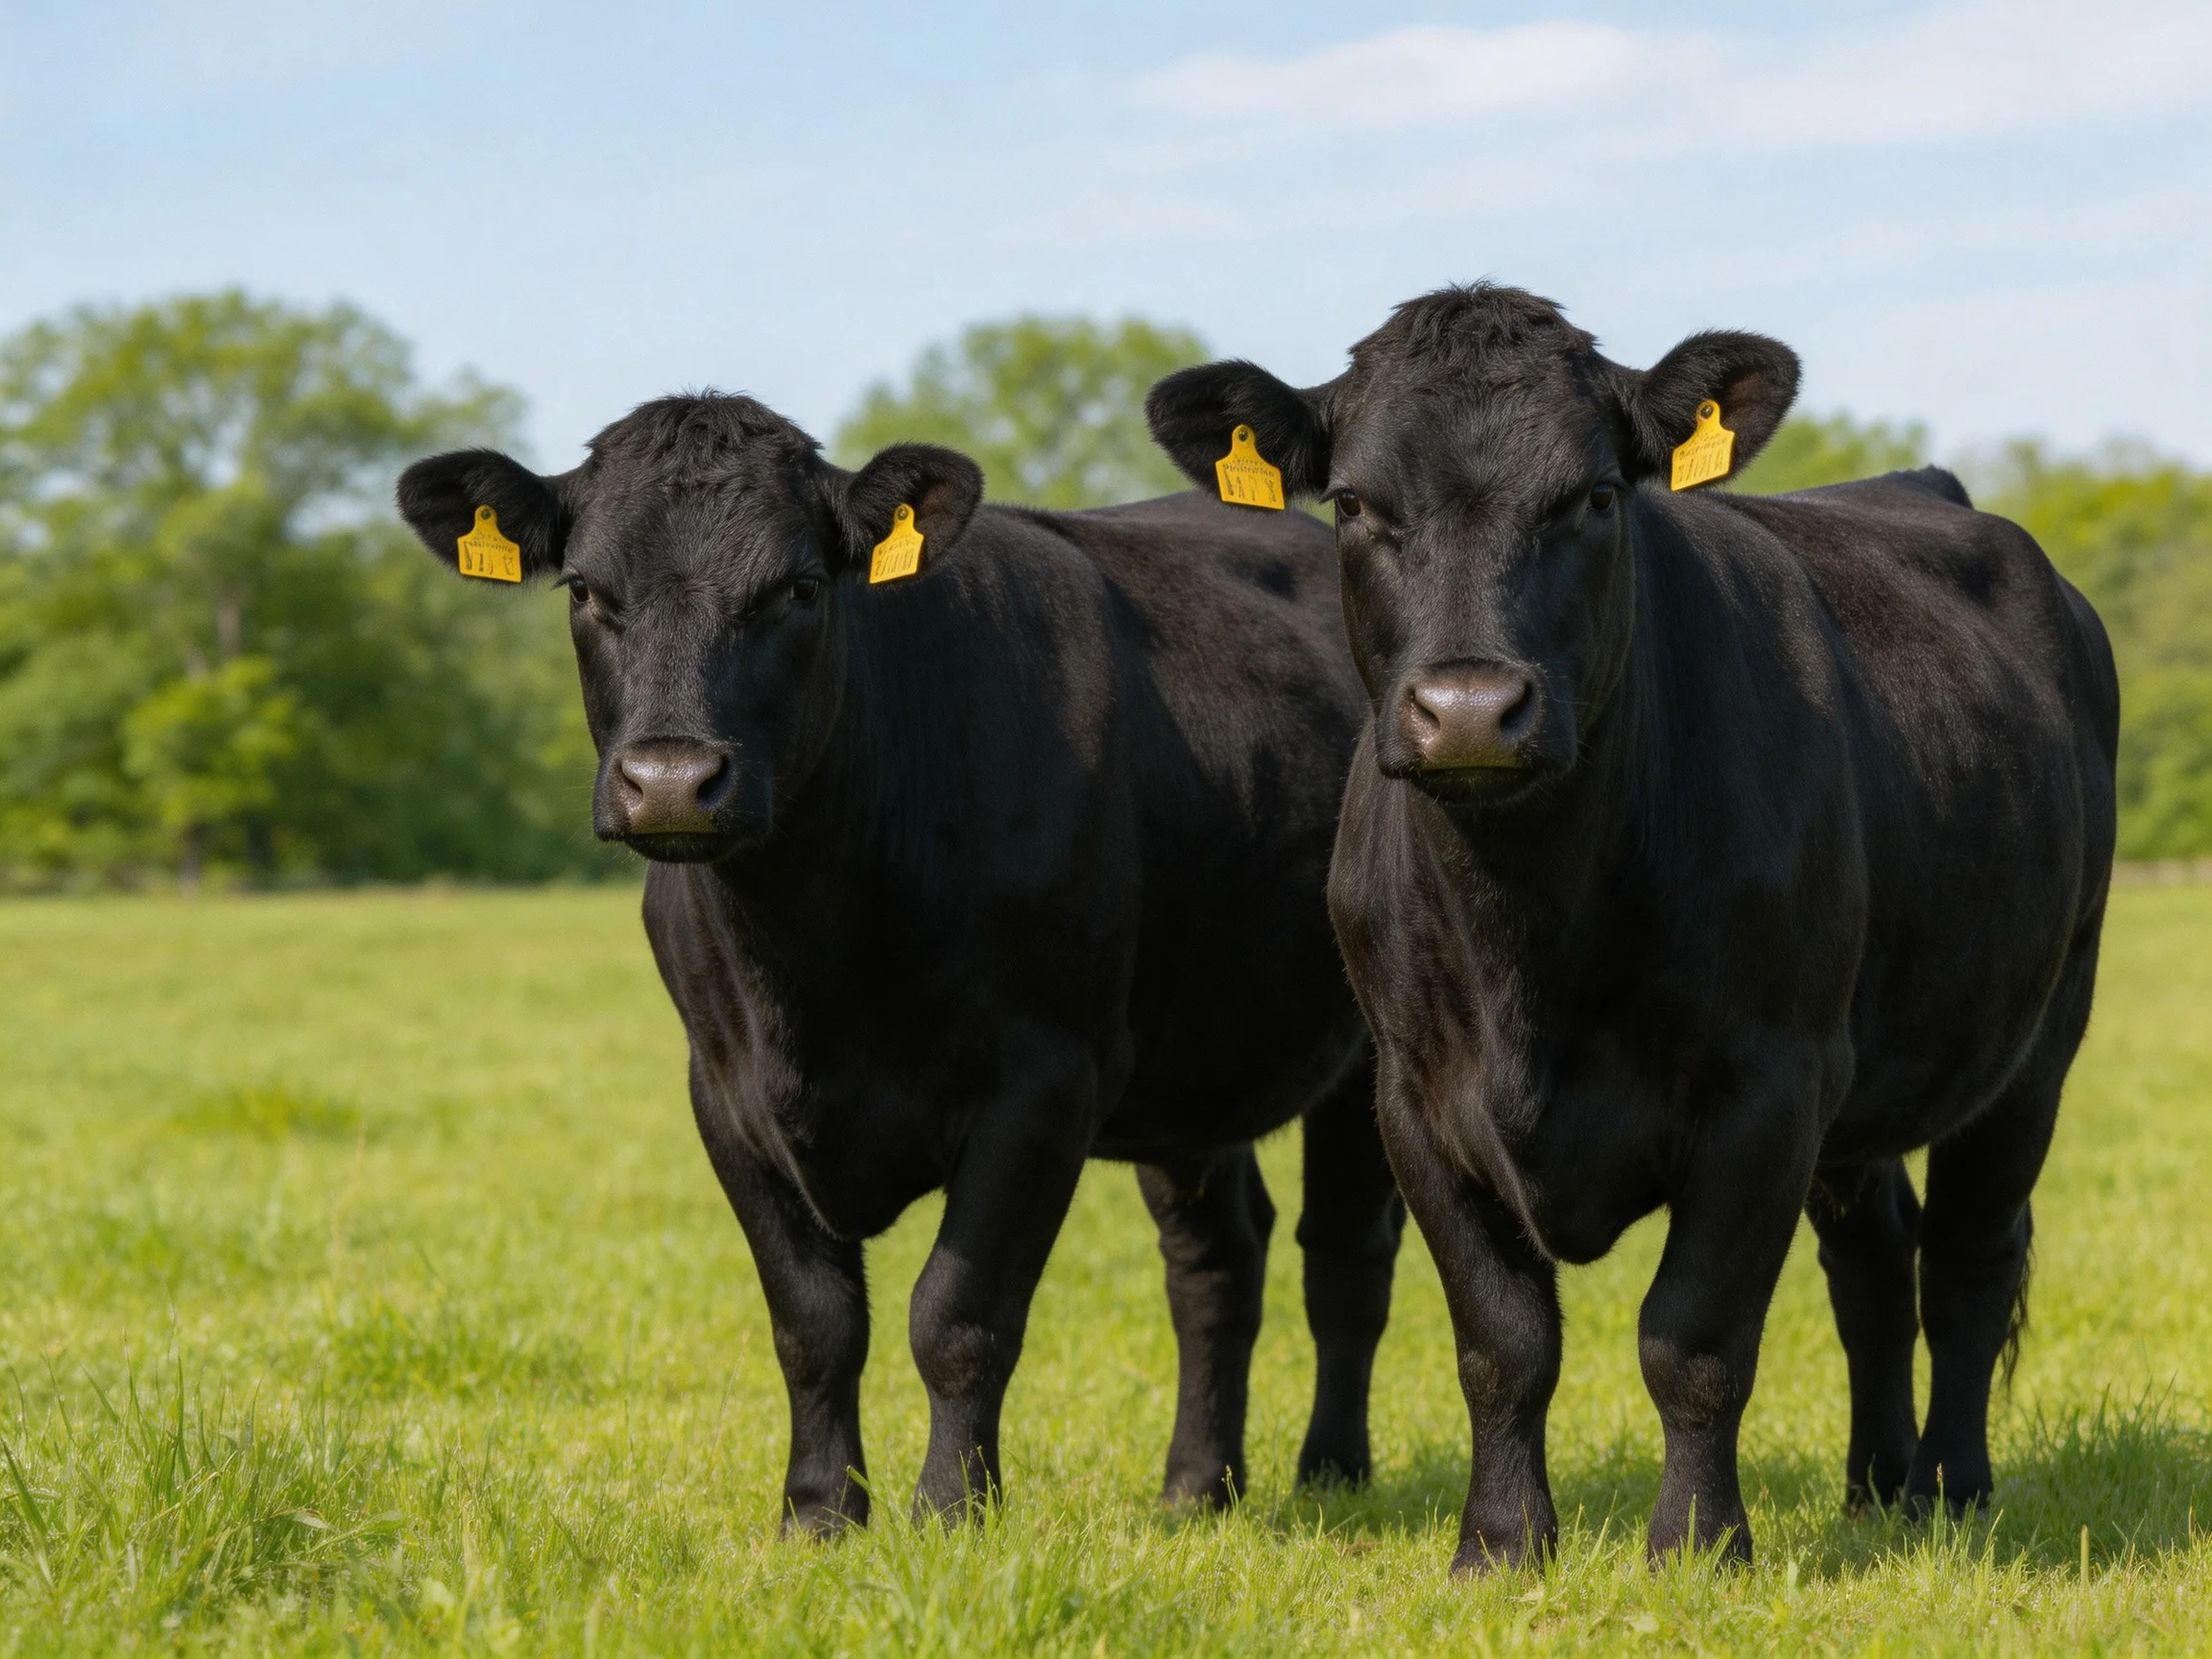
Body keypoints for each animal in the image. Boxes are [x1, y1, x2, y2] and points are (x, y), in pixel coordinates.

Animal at [395, 394, 1406, 1532]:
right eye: (583, 589)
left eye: (798, 587)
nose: (670, 781)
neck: (813, 960)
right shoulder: (724, 1094)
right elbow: (814, 1323)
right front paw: (818, 1512)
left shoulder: (1046, 1081)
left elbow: (956, 1315)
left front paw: (952, 1509)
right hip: (1190, 1060)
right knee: (1217, 1261)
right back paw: (1196, 1488)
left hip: (1372, 1041)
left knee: (1346, 1260)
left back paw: (1332, 1471)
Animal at [1146, 284, 2118, 1572]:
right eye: (1353, 503)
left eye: (1597, 496)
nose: (1470, 710)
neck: (1529, 937)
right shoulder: (1412, 1095)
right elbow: (1502, 1342)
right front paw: (1501, 1545)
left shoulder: (1768, 1087)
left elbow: (1691, 1337)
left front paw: (1699, 1545)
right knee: (1874, 1265)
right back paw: (1874, 1485)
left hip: (2038, 1037)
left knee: (1968, 1261)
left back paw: (1947, 1490)